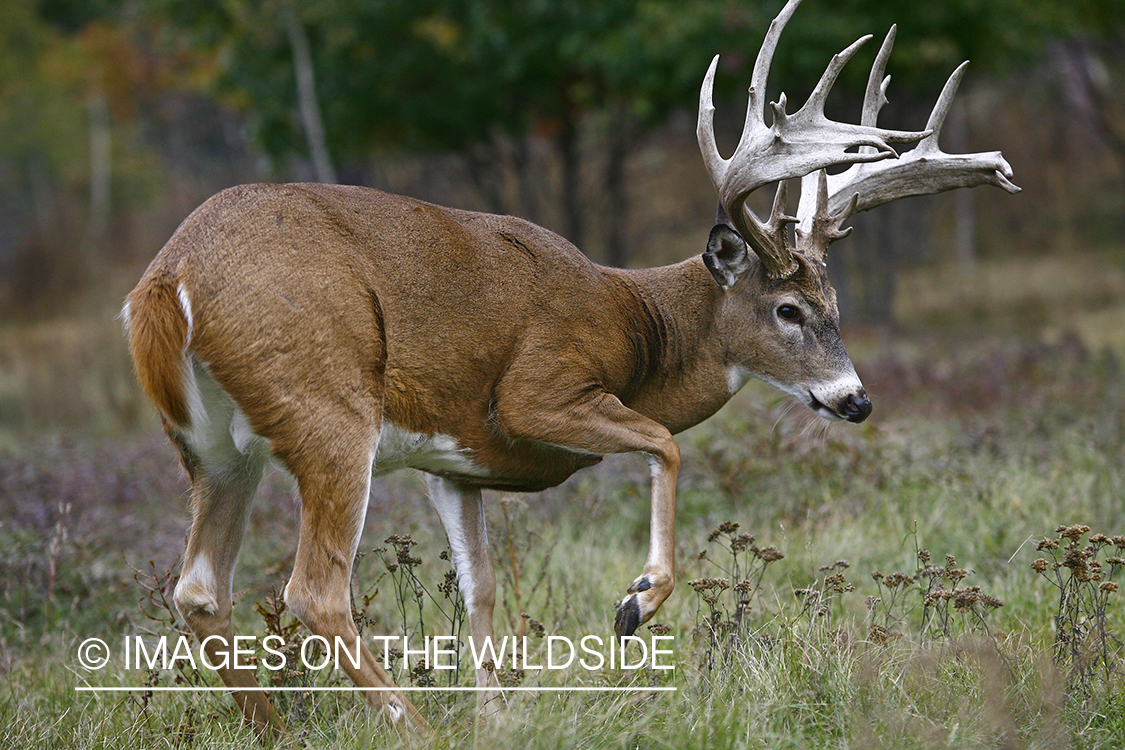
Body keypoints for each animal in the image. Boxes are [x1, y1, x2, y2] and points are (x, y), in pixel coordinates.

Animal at [123, 0, 1021, 737]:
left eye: (833, 300)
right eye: (788, 310)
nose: (855, 399)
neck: (637, 324)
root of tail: (166, 281)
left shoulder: (454, 463)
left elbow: (481, 587)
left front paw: (496, 717)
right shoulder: (534, 392)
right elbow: (664, 441)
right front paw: (636, 600)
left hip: (213, 448)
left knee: (198, 586)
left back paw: (275, 727)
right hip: (328, 409)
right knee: (313, 589)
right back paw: (412, 728)